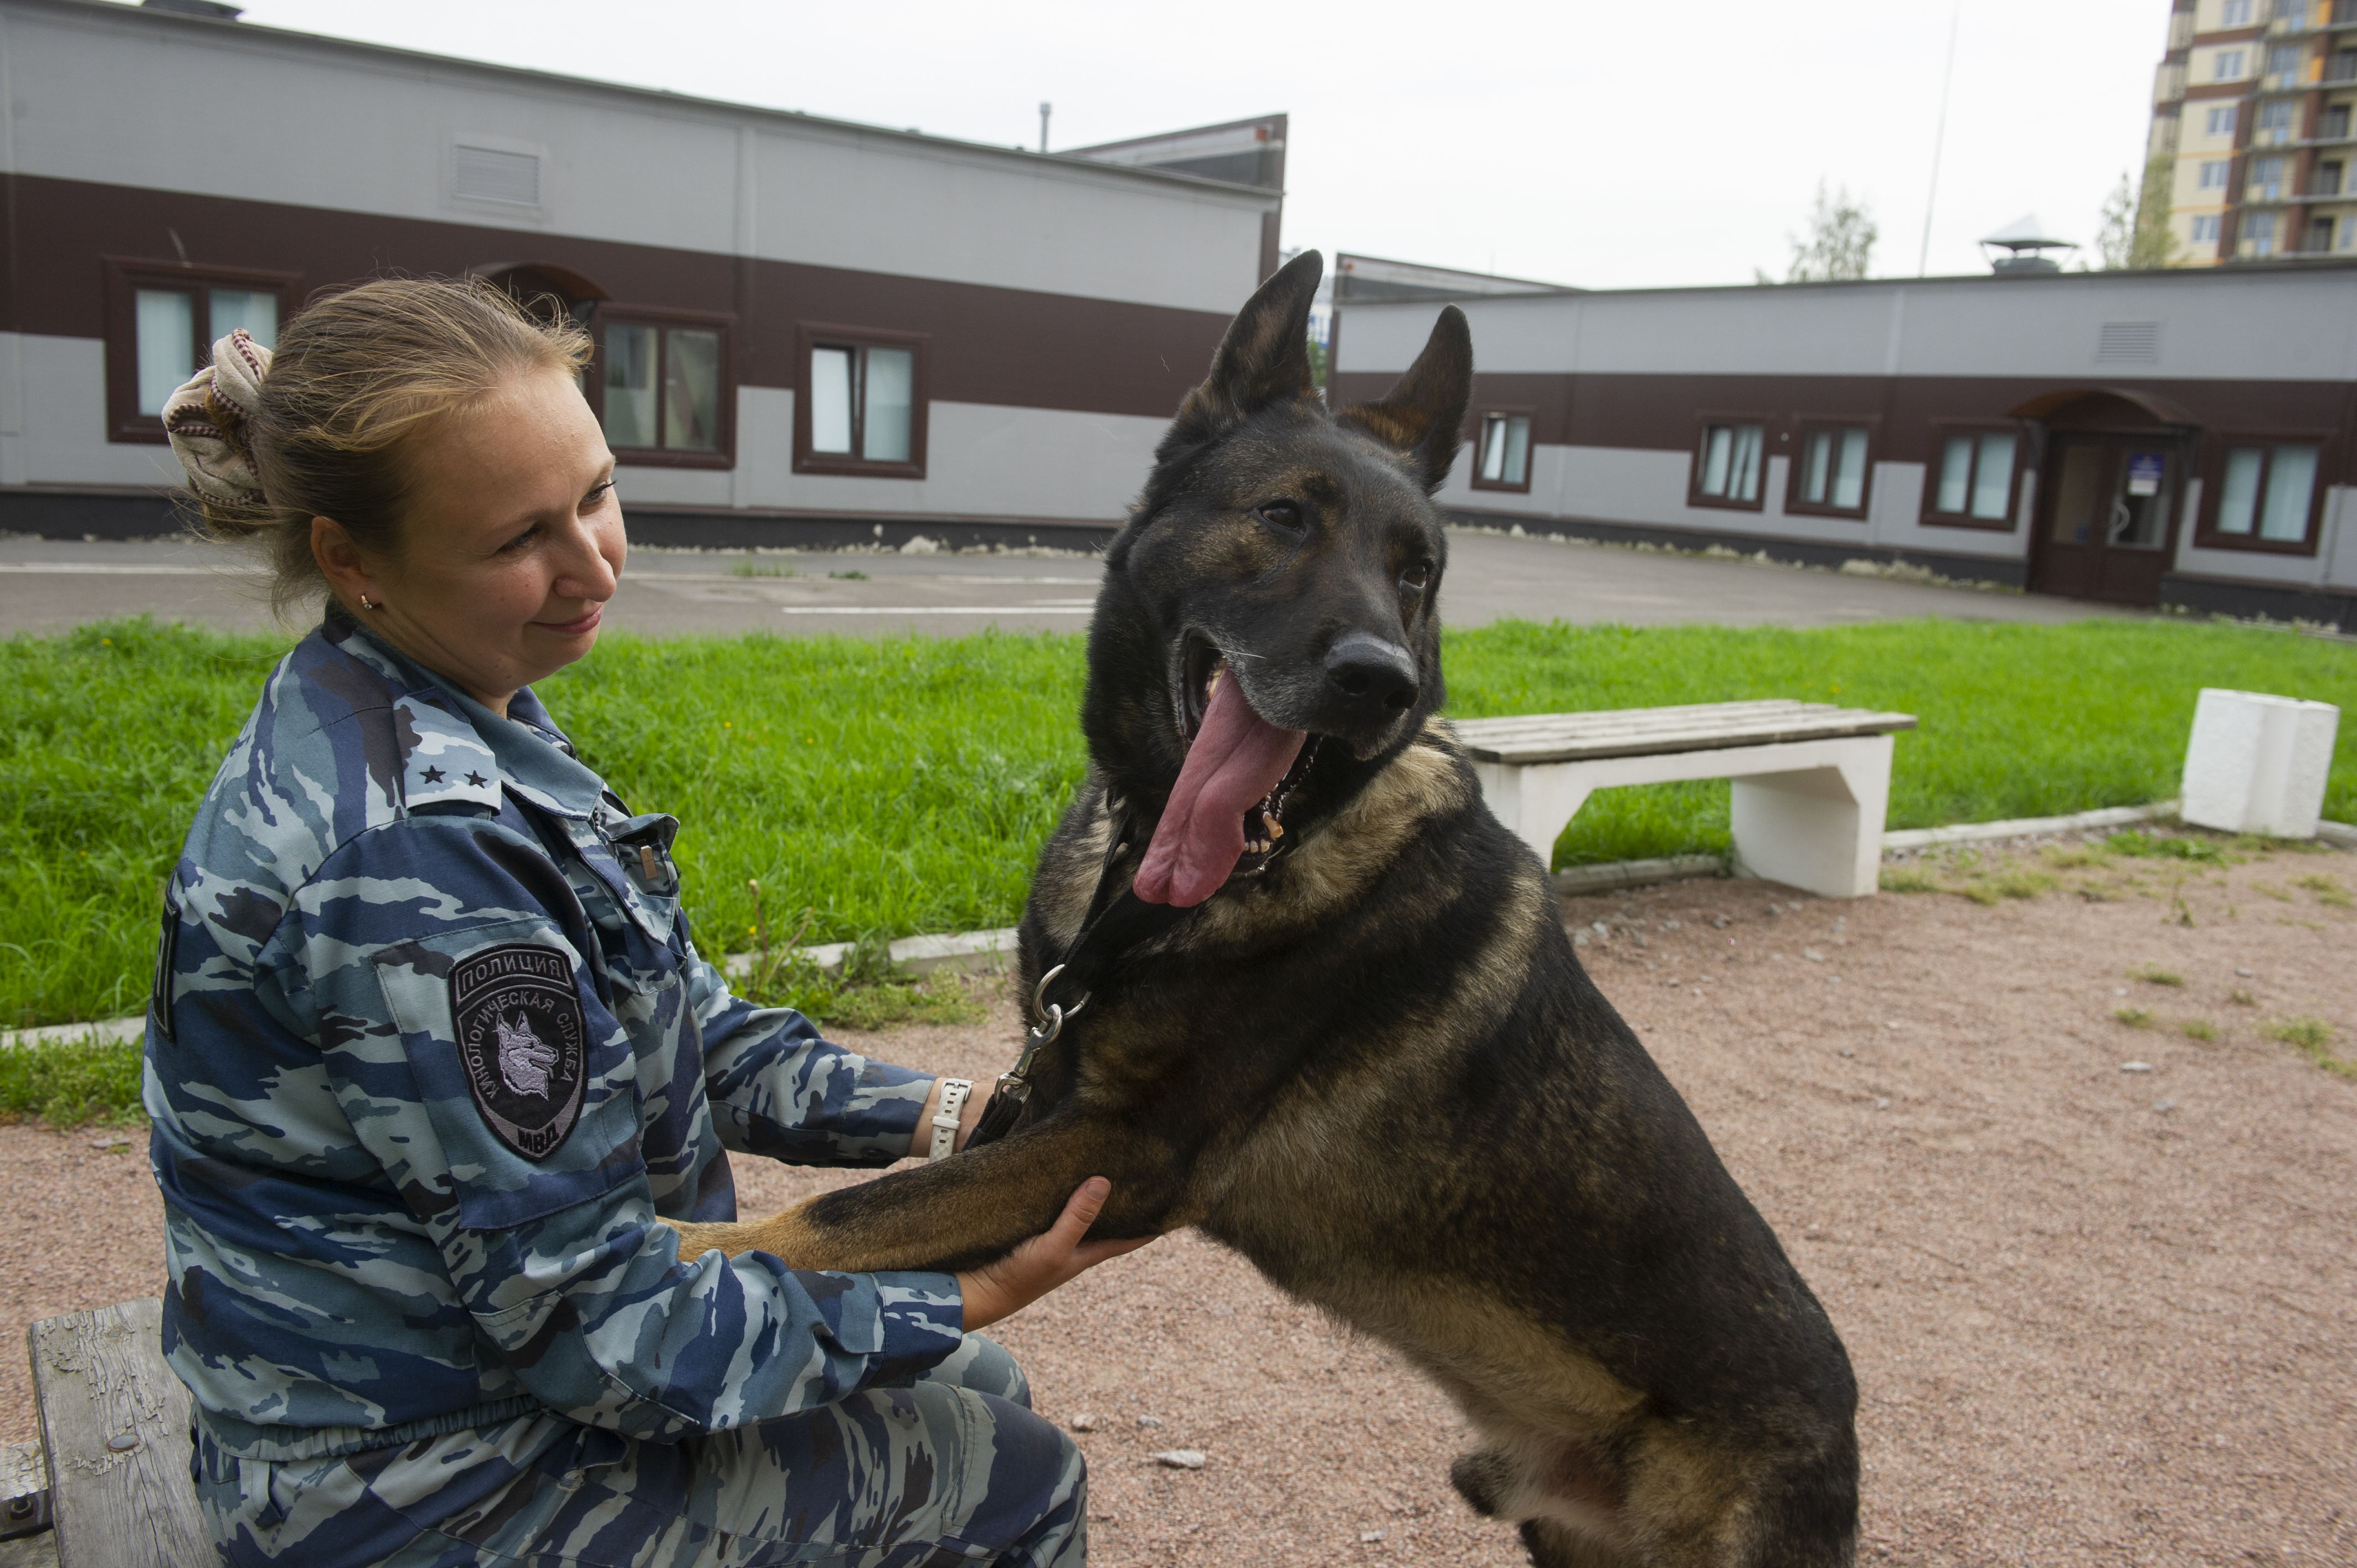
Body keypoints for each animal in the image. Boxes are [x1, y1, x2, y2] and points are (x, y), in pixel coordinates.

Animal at [678, 251, 1857, 1556]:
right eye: (1286, 516)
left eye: (1415, 571)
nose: (1377, 680)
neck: (1159, 880)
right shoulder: (1057, 1104)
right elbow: (873, 1202)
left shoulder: (1123, 1149)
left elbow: (842, 1216)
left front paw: (694, 1251)